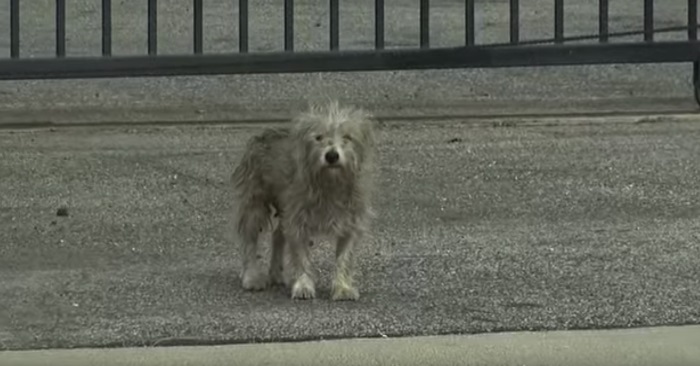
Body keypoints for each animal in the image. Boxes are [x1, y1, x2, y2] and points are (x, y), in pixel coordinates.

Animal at [230, 101, 374, 300]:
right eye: (318, 137)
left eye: (347, 137)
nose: (331, 155)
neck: (330, 183)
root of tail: (266, 134)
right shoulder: (298, 221)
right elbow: (301, 256)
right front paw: (303, 285)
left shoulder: (351, 222)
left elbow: (345, 257)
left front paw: (343, 287)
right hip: (254, 203)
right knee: (249, 240)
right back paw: (252, 276)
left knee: (278, 235)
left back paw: (276, 273)